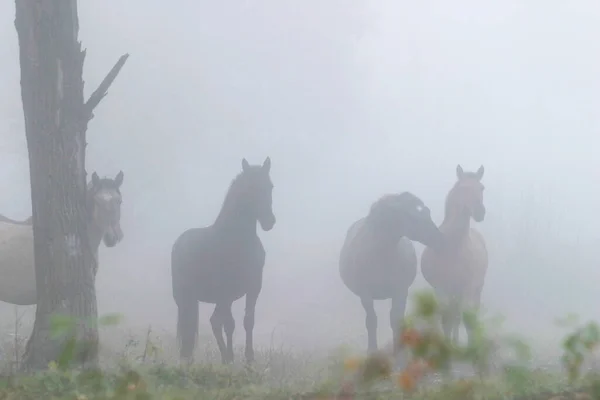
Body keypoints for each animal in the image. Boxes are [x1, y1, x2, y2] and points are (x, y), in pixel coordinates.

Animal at [172, 158, 276, 364]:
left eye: (270, 187)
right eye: (250, 188)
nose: (269, 221)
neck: (236, 240)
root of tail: (179, 243)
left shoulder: (253, 288)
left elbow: (248, 321)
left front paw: (249, 359)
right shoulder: (226, 291)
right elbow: (229, 324)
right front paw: (232, 359)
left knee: (209, 322)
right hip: (185, 297)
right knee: (196, 325)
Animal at [340, 193, 442, 354]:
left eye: (427, 212)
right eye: (412, 216)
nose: (441, 240)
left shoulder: (400, 291)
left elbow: (396, 320)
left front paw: (399, 354)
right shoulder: (365, 294)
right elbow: (371, 321)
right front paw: (372, 352)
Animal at [422, 164, 488, 346]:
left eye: (481, 188)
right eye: (463, 188)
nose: (480, 212)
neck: (451, 248)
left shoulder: (467, 288)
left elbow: (466, 318)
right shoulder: (441, 288)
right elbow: (447, 319)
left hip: (476, 290)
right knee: (454, 316)